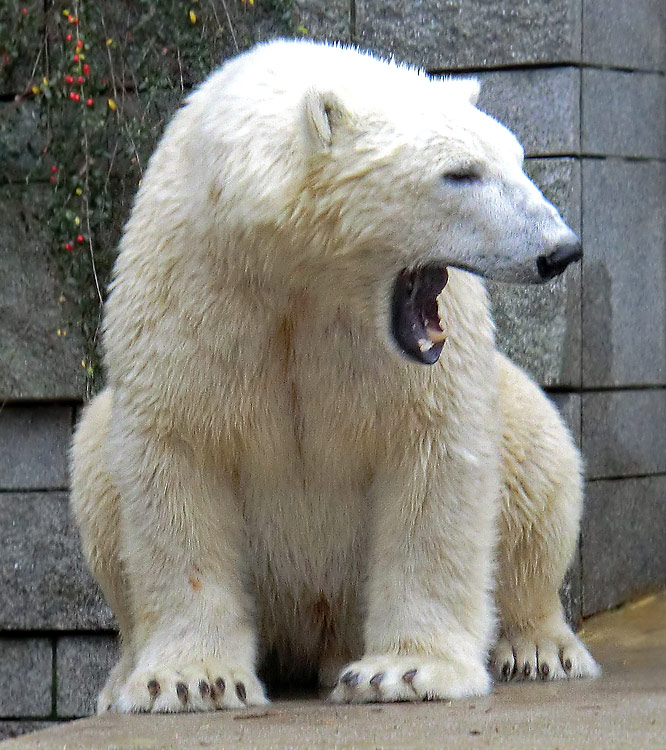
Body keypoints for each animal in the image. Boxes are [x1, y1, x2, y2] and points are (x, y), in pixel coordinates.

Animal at [70, 38, 592, 712]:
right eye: (461, 172)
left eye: (518, 160)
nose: (560, 250)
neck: (300, 271)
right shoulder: (193, 291)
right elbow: (178, 453)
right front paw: (193, 680)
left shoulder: (407, 357)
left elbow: (433, 456)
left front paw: (402, 671)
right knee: (95, 461)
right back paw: (120, 681)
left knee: (539, 458)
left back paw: (538, 647)